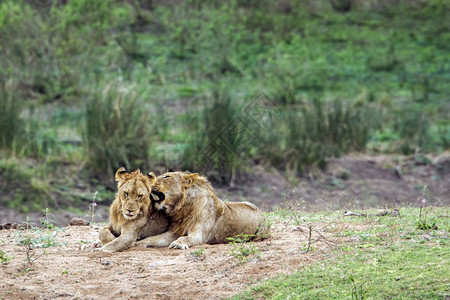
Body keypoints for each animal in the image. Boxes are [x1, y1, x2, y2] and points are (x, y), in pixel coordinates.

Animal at [135, 171, 266, 248]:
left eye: (167, 176)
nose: (147, 178)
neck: (183, 208)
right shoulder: (173, 233)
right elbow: (152, 238)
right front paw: (138, 243)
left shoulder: (199, 235)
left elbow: (186, 238)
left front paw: (179, 243)